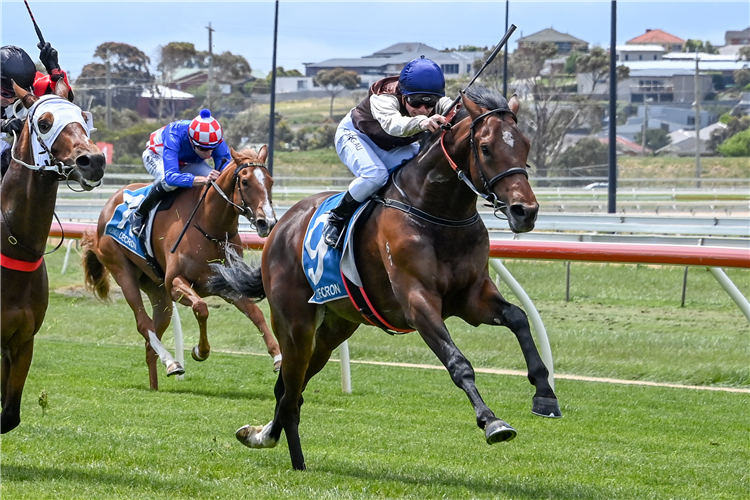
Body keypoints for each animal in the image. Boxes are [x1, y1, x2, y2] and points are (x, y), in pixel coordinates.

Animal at [81, 145, 282, 390]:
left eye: (270, 181)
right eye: (244, 181)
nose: (267, 222)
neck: (208, 226)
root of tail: (109, 205)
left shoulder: (226, 284)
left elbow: (256, 314)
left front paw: (278, 357)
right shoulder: (176, 283)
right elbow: (201, 308)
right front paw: (200, 351)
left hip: (157, 290)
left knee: (151, 340)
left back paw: (156, 384)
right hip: (122, 270)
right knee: (143, 323)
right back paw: (171, 362)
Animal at [209, 86, 560, 468]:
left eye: (525, 144)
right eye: (485, 147)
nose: (525, 211)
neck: (437, 213)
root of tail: (280, 226)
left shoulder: (472, 297)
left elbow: (518, 317)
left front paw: (545, 395)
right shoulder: (417, 302)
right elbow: (458, 362)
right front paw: (492, 421)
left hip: (336, 327)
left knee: (292, 388)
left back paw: (262, 436)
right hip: (294, 325)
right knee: (289, 391)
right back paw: (289, 456)